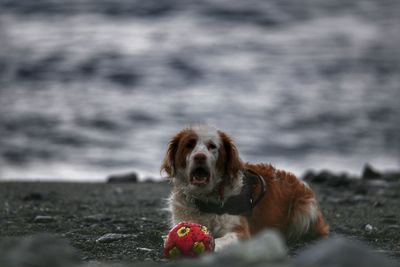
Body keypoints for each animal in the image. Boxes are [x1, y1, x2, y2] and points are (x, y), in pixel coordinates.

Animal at [161, 125, 330, 251]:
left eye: (212, 146)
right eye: (189, 145)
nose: (200, 157)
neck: (205, 199)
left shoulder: (241, 231)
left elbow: (220, 240)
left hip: (305, 209)